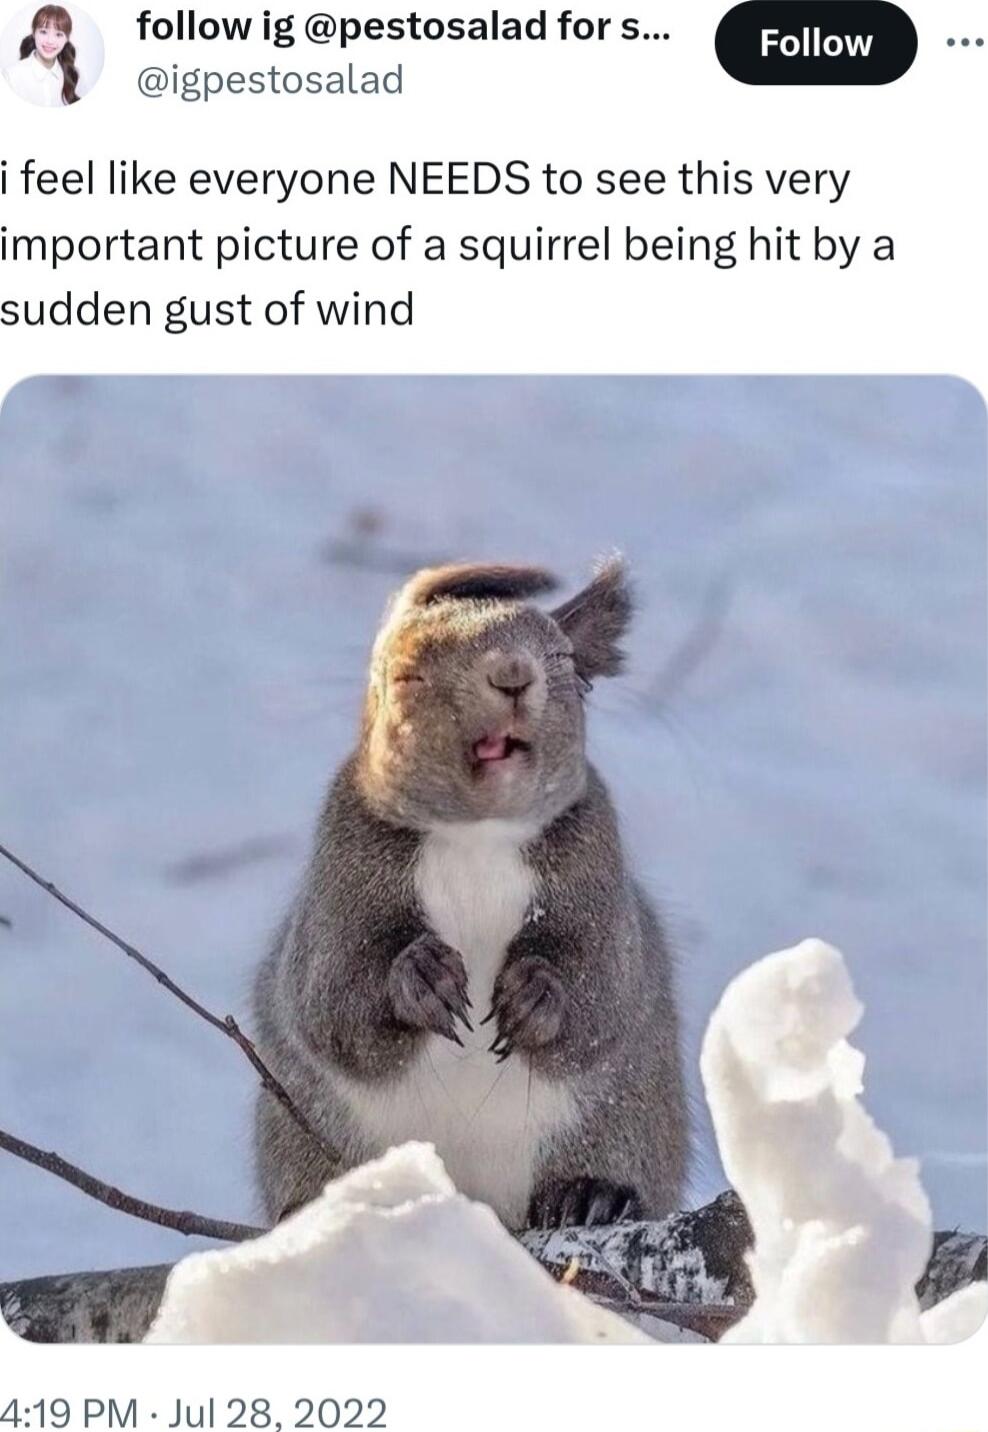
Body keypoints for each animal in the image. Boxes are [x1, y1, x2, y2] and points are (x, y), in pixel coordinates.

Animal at [253, 558, 688, 1229]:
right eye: (405, 673)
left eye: (563, 659)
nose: (512, 674)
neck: (478, 837)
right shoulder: (339, 877)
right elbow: (330, 1000)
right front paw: (419, 977)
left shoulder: (598, 875)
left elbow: (604, 990)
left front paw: (538, 992)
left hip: (625, 1123)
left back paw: (591, 1194)